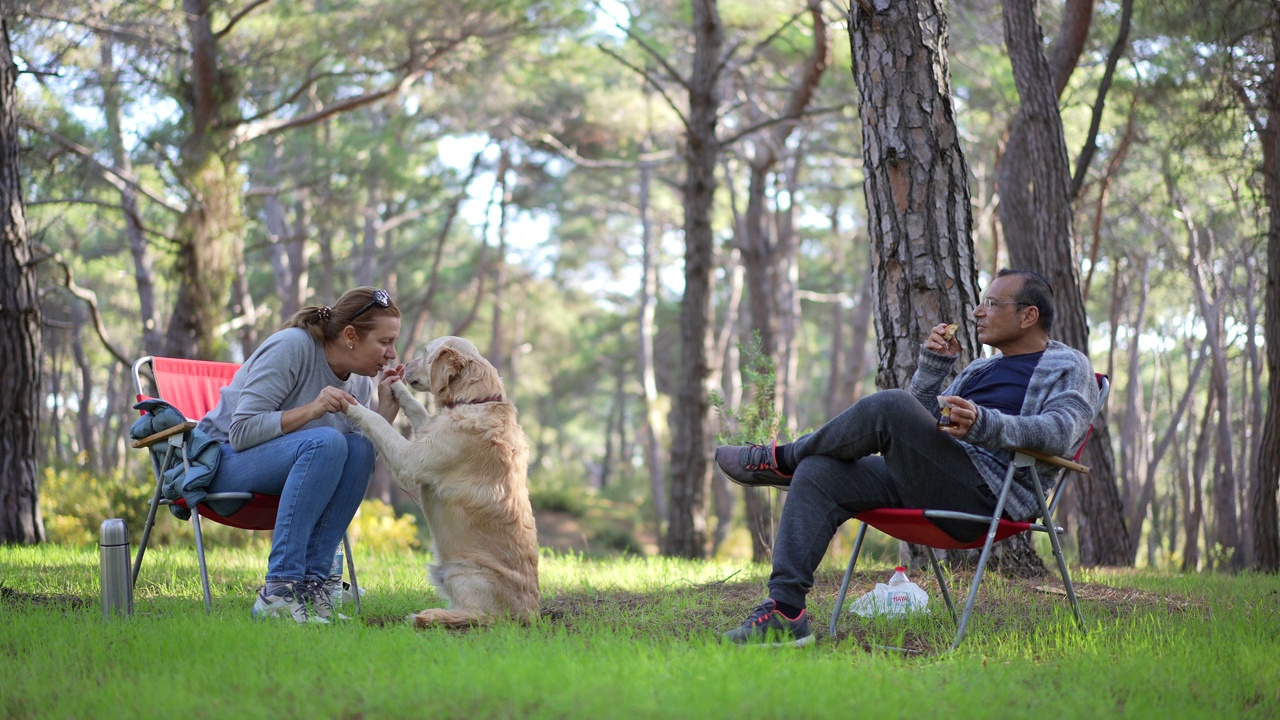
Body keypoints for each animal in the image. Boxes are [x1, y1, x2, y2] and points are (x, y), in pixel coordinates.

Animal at [343, 335, 537, 622]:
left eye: (425, 353)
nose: (404, 364)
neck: (475, 401)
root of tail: (529, 613)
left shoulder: (410, 460)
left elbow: (378, 421)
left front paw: (347, 402)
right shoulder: (425, 435)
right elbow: (416, 407)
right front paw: (395, 384)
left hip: (462, 571)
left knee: (480, 616)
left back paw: (427, 617)